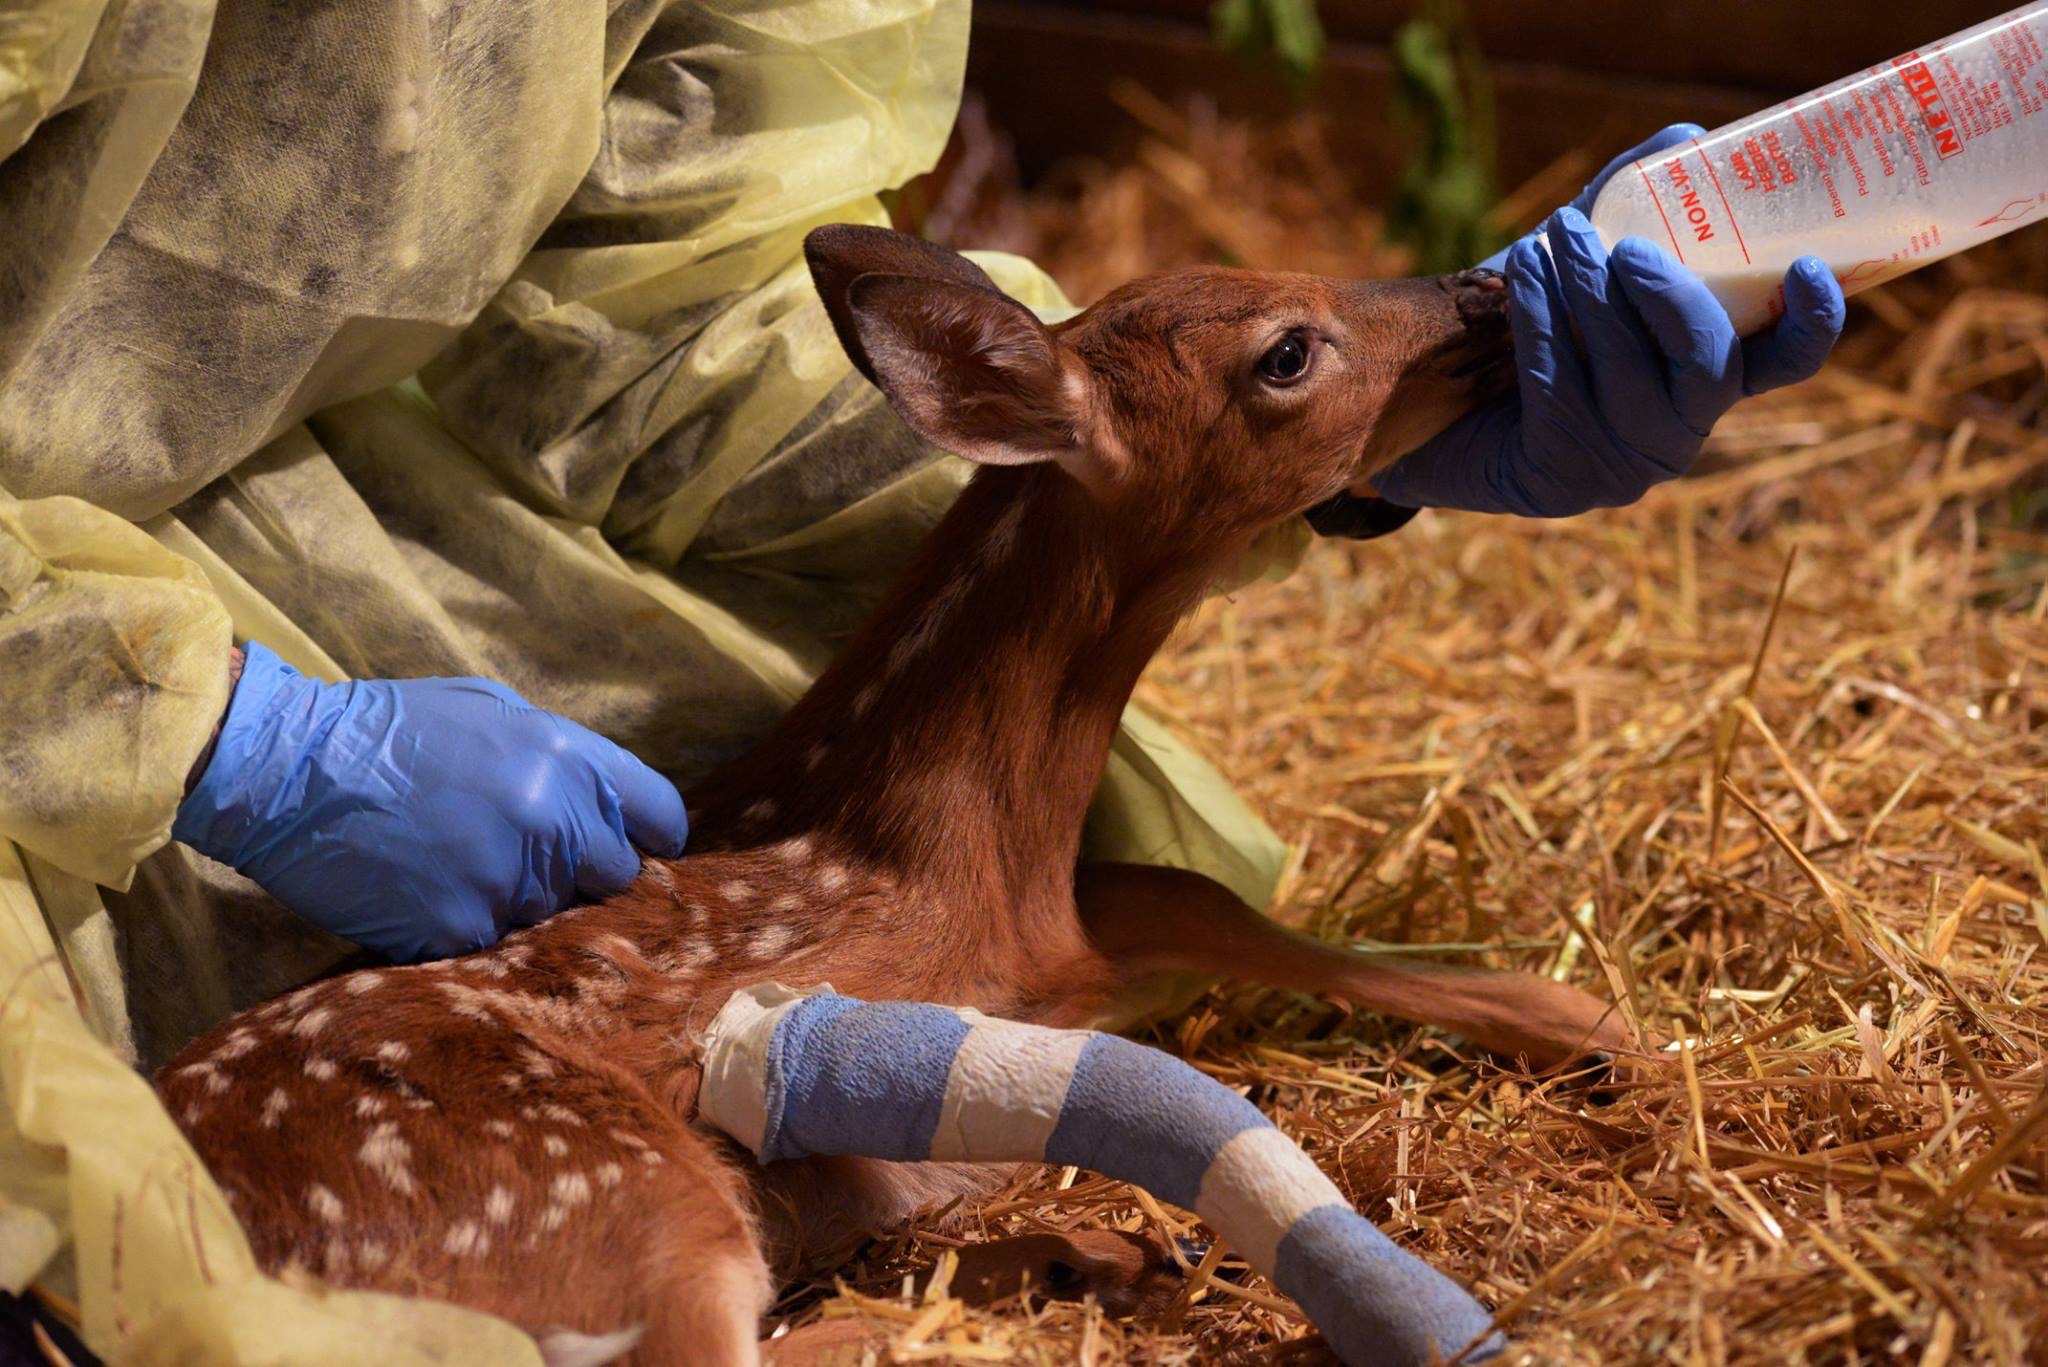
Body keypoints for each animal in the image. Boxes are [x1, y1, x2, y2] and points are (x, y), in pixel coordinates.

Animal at [157, 225, 1638, 1366]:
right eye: (1286, 349)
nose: (1484, 294)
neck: (977, 843)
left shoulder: (1085, 931)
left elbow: (1207, 896)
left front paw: (1589, 1019)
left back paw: (1089, 1248)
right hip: (598, 1186)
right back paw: (1081, 1249)